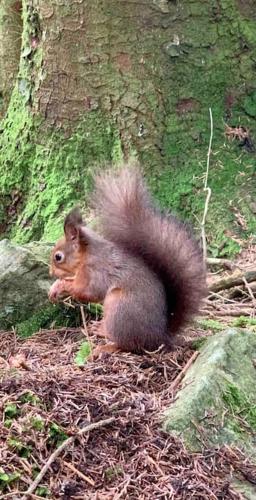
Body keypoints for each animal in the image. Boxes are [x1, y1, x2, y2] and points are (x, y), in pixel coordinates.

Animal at [49, 166, 207, 358]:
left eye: (58, 257)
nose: (50, 272)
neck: (87, 255)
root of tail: (159, 337)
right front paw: (55, 286)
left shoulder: (95, 272)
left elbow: (86, 292)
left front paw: (63, 286)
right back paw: (100, 330)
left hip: (119, 307)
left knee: (128, 345)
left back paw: (105, 347)